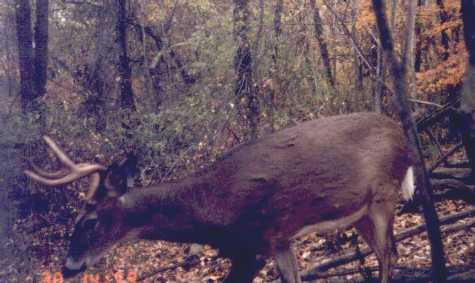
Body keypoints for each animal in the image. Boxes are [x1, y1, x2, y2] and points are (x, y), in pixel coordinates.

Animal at [25, 113, 416, 283]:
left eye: (89, 221)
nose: (67, 267)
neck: (213, 207)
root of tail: (403, 135)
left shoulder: (263, 238)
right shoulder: (270, 243)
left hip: (383, 196)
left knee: (388, 255)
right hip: (360, 212)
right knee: (386, 253)